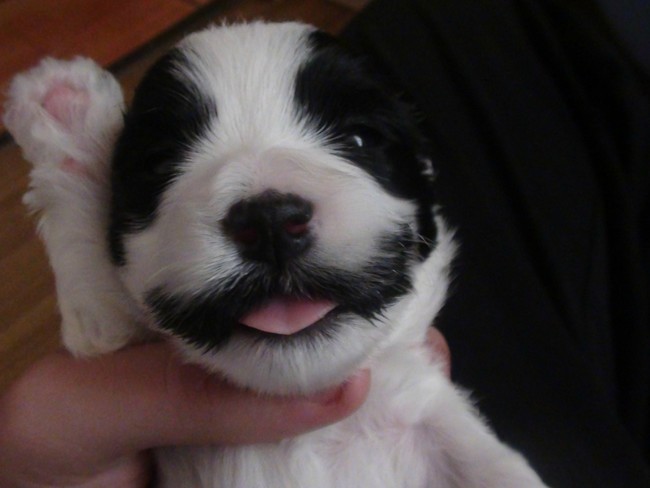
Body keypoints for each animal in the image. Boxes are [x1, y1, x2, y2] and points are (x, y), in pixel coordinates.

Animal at [6, 21, 548, 486]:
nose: (268, 222)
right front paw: (67, 114)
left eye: (360, 138)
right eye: (159, 165)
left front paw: (67, 109)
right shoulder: (105, 341)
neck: (312, 433)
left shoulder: (432, 414)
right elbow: (99, 306)